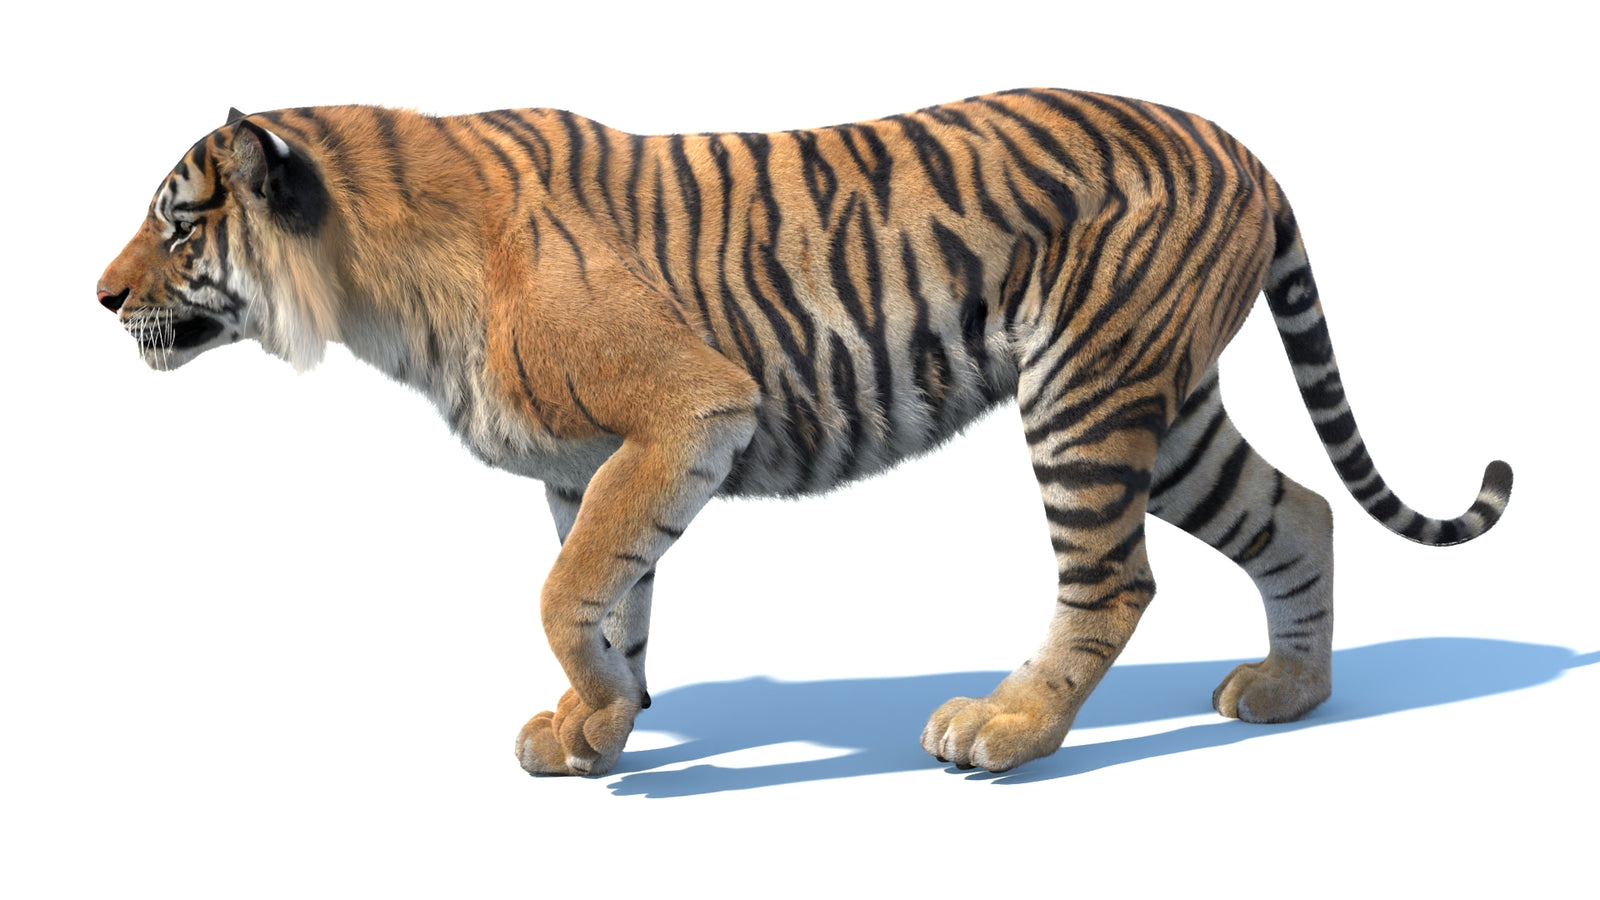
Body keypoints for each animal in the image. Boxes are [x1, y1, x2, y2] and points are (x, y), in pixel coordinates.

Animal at [97, 89, 1512, 777]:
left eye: (175, 222)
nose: (99, 298)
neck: (374, 281)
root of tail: (1244, 148)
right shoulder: (594, 462)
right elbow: (611, 593)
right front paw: (601, 727)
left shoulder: (684, 409)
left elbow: (564, 592)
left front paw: (594, 717)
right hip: (1161, 412)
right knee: (1300, 510)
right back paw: (1288, 693)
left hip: (1087, 393)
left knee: (1113, 579)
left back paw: (1006, 732)